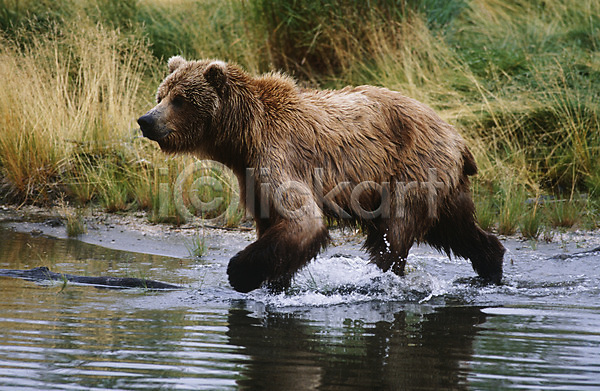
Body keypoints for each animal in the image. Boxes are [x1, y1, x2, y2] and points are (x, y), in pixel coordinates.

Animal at [138, 56, 504, 292]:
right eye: (161, 94)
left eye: (180, 99)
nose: (146, 120)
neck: (243, 137)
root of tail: (458, 138)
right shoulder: (252, 174)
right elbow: (276, 224)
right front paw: (276, 280)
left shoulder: (278, 154)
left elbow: (303, 220)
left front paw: (239, 272)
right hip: (444, 182)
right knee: (457, 228)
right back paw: (491, 264)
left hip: (411, 170)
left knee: (395, 232)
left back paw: (381, 279)